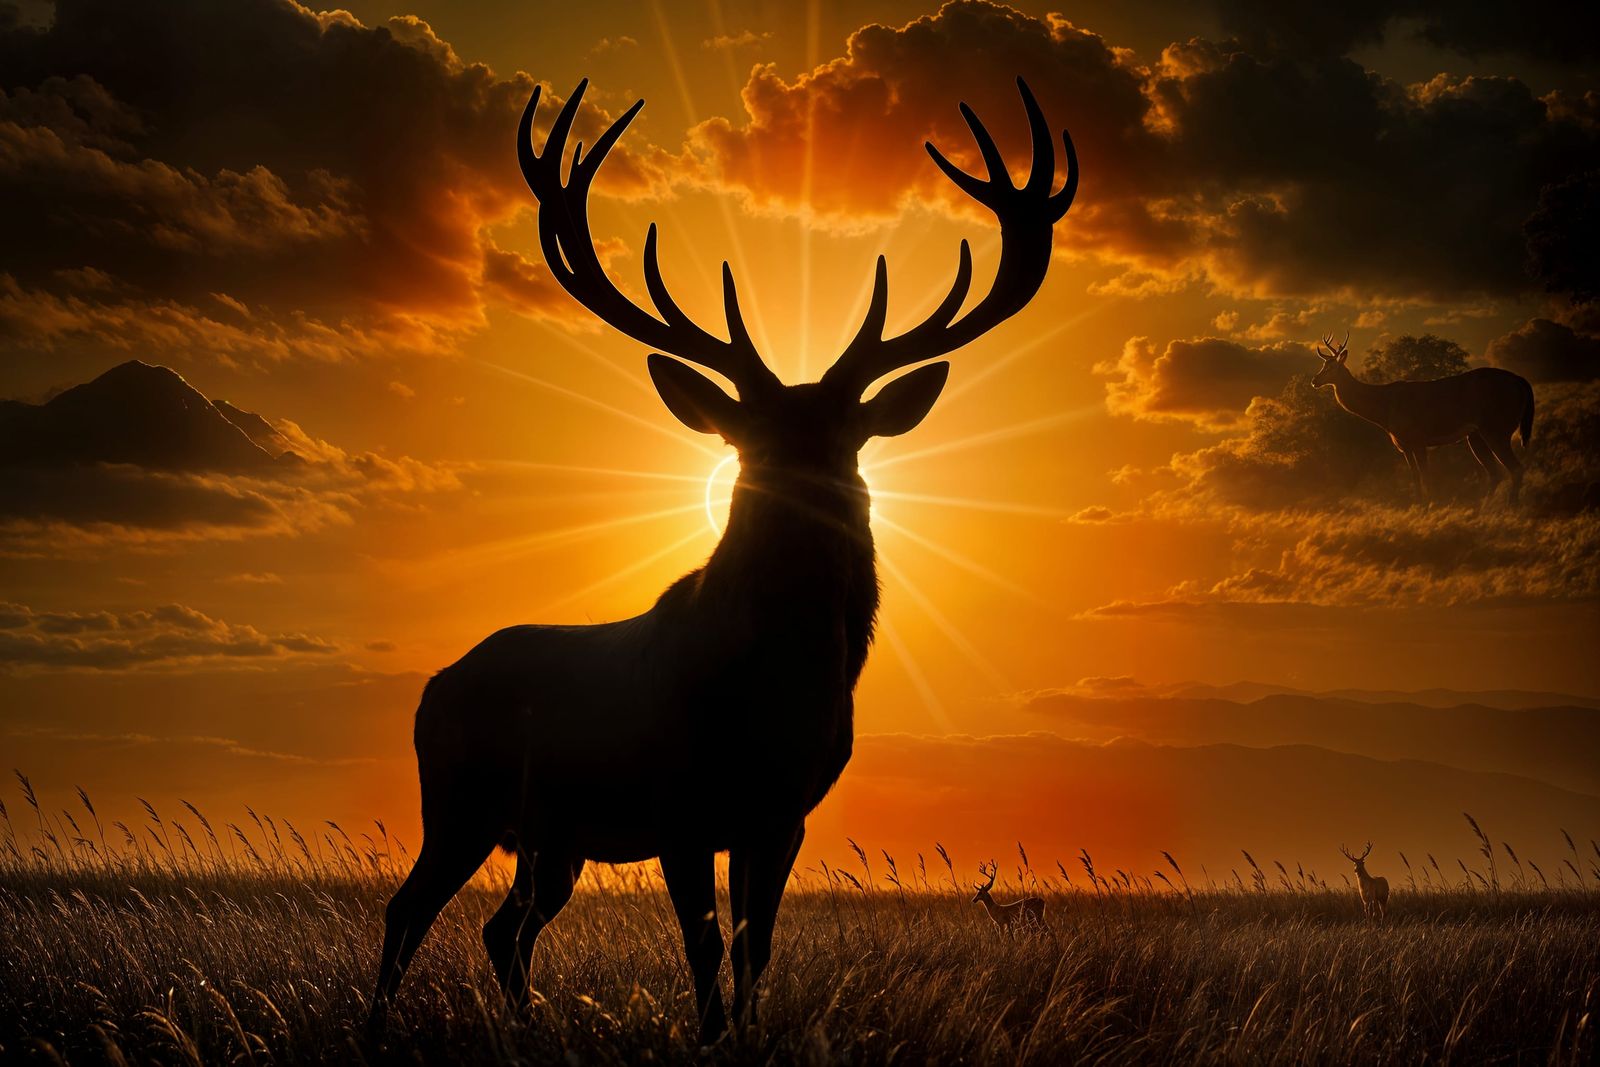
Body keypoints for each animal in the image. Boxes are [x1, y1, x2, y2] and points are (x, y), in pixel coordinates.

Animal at [365, 77, 1078, 1043]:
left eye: (847, 438)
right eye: (752, 441)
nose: (805, 493)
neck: (773, 692)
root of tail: (434, 685)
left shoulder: (783, 813)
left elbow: (753, 950)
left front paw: (748, 1036)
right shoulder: (681, 807)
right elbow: (705, 951)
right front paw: (709, 1039)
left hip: (554, 835)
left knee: (503, 927)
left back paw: (526, 1026)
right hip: (459, 799)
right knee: (409, 910)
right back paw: (375, 1029)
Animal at [1311, 333, 1535, 504]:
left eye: (1331, 367)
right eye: (1322, 365)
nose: (1315, 380)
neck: (1385, 410)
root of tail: (1520, 381)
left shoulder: (1418, 438)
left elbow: (1426, 476)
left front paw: (1430, 505)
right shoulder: (1404, 444)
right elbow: (1416, 477)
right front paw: (1419, 506)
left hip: (1497, 426)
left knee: (1515, 469)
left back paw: (1510, 508)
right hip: (1476, 435)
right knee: (1495, 473)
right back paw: (1484, 509)